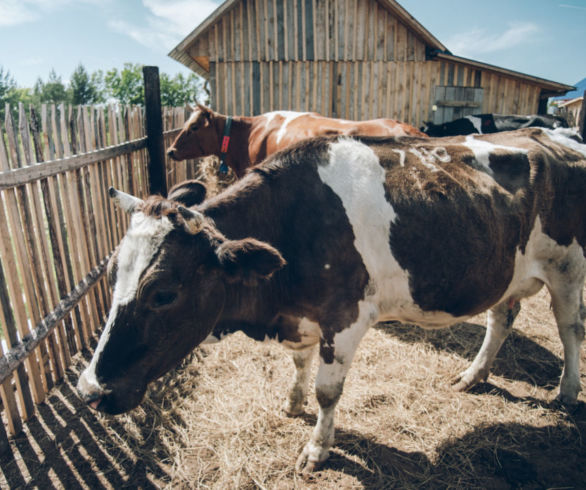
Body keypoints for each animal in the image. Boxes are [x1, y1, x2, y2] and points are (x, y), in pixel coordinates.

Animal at [77, 126, 584, 470]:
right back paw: (473, 376)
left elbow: (328, 392)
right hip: (506, 268)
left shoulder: (344, 319)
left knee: (570, 328)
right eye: (112, 276)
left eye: (163, 293)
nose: (89, 392)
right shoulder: (301, 317)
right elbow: (299, 365)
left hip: (568, 266)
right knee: (502, 318)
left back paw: (567, 391)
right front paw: (292, 402)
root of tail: (547, 133)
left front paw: (317, 448)